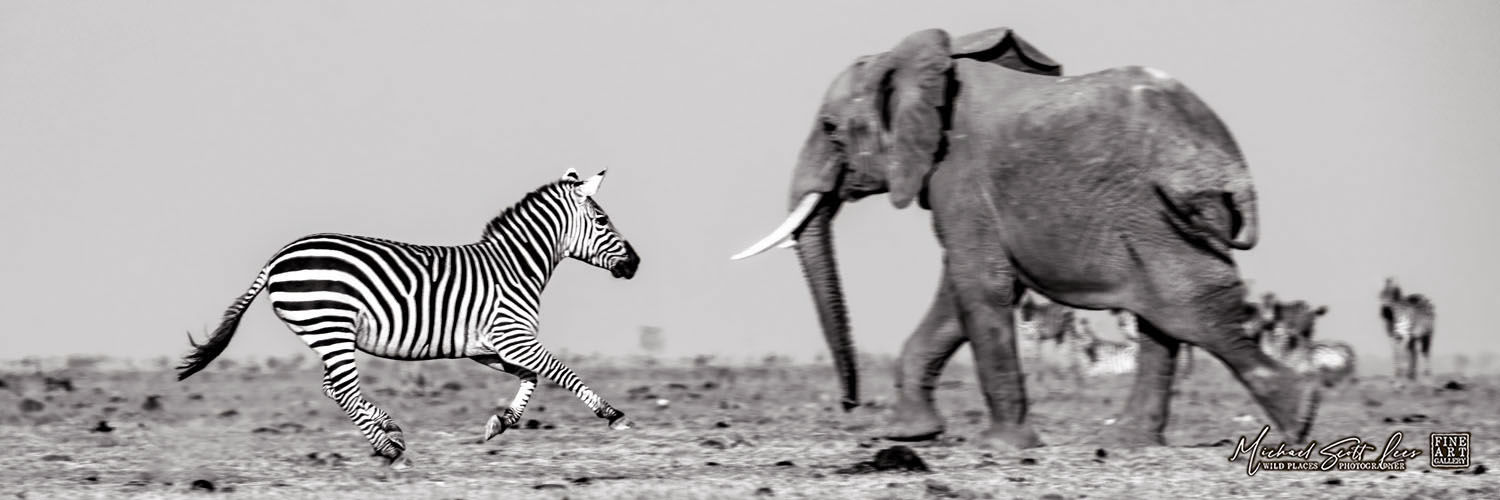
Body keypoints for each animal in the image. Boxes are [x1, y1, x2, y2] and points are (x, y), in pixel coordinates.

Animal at [175, 169, 641, 469]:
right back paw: (389, 447)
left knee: (333, 387)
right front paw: (612, 413)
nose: (635, 264)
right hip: (331, 325)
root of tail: (277, 257)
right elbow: (561, 372)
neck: (515, 266)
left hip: (327, 333)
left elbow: (532, 378)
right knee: (341, 388)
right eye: (602, 220)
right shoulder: (512, 336)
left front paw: (500, 423)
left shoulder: (487, 346)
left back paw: (388, 429)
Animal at [732, 27, 1320, 448]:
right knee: (1167, 315)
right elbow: (967, 293)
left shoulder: (958, 172)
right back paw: (1135, 444)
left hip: (1161, 212)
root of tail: (1228, 163)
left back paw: (1301, 416)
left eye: (830, 129)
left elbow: (978, 283)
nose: (849, 406)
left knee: (1192, 308)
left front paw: (1002, 446)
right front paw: (911, 435)